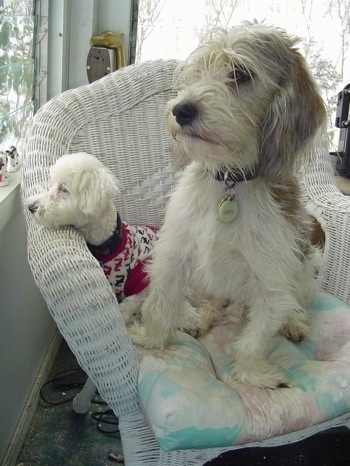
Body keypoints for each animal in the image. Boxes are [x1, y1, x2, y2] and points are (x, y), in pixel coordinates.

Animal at [130, 20, 326, 390]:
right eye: (196, 73)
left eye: (240, 74)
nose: (181, 110)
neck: (229, 182)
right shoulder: (173, 253)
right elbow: (160, 302)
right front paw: (151, 338)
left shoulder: (271, 283)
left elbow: (255, 338)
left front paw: (254, 374)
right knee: (213, 301)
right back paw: (201, 317)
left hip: (305, 269)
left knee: (295, 303)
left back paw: (294, 322)